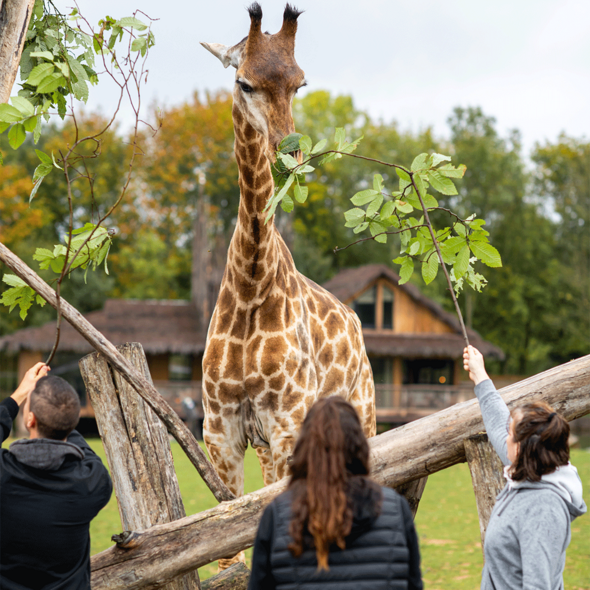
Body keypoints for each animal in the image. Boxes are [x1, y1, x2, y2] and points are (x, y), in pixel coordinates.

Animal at [200, 3, 374, 564]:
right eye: (244, 82)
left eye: (301, 83)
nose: (289, 152)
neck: (252, 283)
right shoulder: (223, 433)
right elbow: (225, 549)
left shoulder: (286, 426)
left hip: (362, 416)